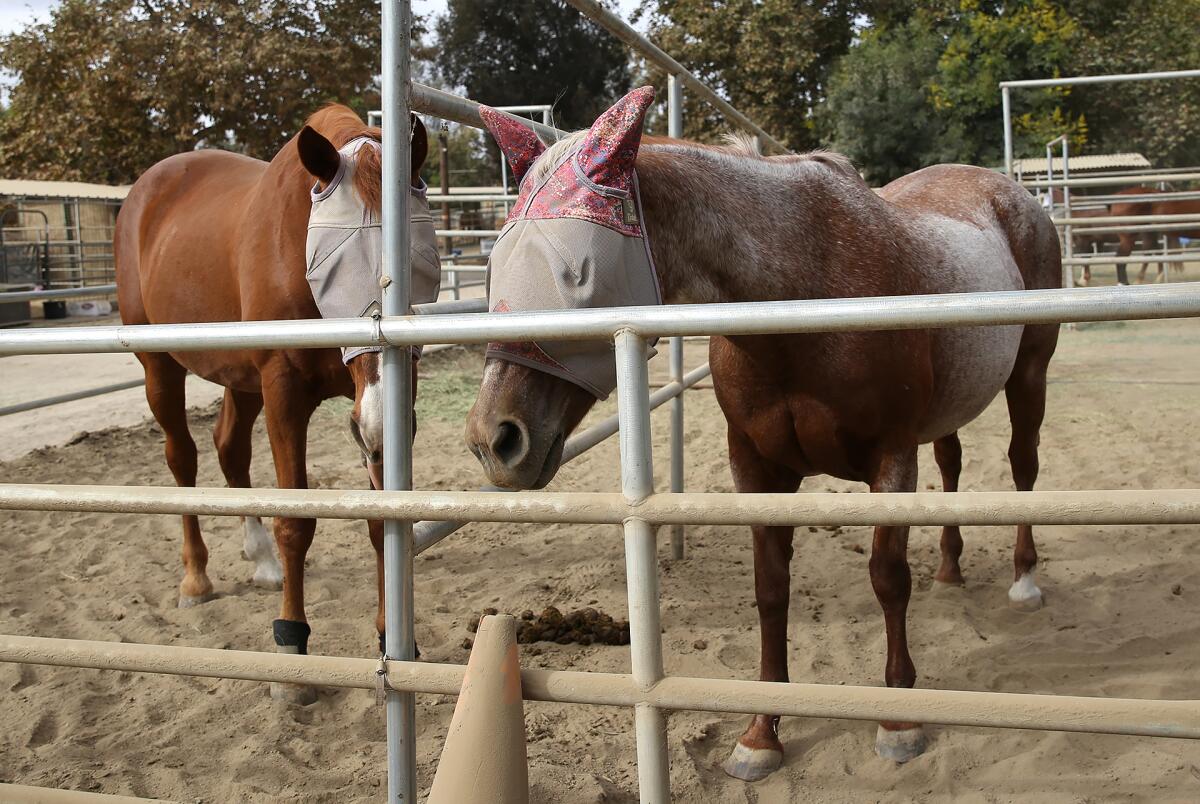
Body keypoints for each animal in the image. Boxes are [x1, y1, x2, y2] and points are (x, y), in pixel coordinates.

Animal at [113, 105, 436, 705]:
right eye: (332, 267)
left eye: (419, 265)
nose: (380, 423)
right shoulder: (284, 392)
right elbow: (296, 524)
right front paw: (292, 648)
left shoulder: (377, 410)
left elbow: (381, 522)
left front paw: (392, 638)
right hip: (160, 367)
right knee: (182, 459)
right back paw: (196, 579)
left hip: (240, 380)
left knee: (230, 449)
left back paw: (261, 560)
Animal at [463, 90, 1065, 782]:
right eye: (493, 268)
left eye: (576, 273)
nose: (494, 439)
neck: (804, 292)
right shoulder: (755, 468)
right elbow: (770, 590)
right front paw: (760, 735)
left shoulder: (891, 460)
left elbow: (888, 580)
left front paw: (898, 723)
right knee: (953, 464)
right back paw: (949, 567)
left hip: (1029, 375)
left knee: (1023, 465)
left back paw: (1024, 580)